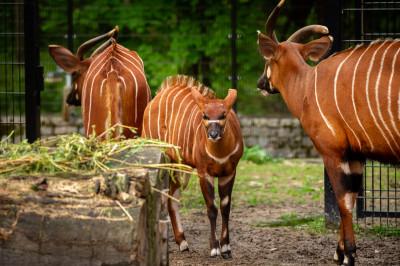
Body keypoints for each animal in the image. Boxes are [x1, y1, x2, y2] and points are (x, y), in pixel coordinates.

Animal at [143, 76, 244, 258]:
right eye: (205, 115)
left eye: (223, 114)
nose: (213, 135)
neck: (219, 153)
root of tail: (158, 95)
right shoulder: (204, 172)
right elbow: (211, 208)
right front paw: (214, 248)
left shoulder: (229, 172)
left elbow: (225, 207)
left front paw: (226, 248)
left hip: (181, 166)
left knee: (172, 197)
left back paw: (183, 242)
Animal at [256, 1, 400, 264]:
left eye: (267, 60)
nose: (261, 83)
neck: (307, 86)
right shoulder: (355, 155)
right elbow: (351, 200)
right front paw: (339, 252)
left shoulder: (332, 152)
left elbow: (342, 202)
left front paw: (349, 254)